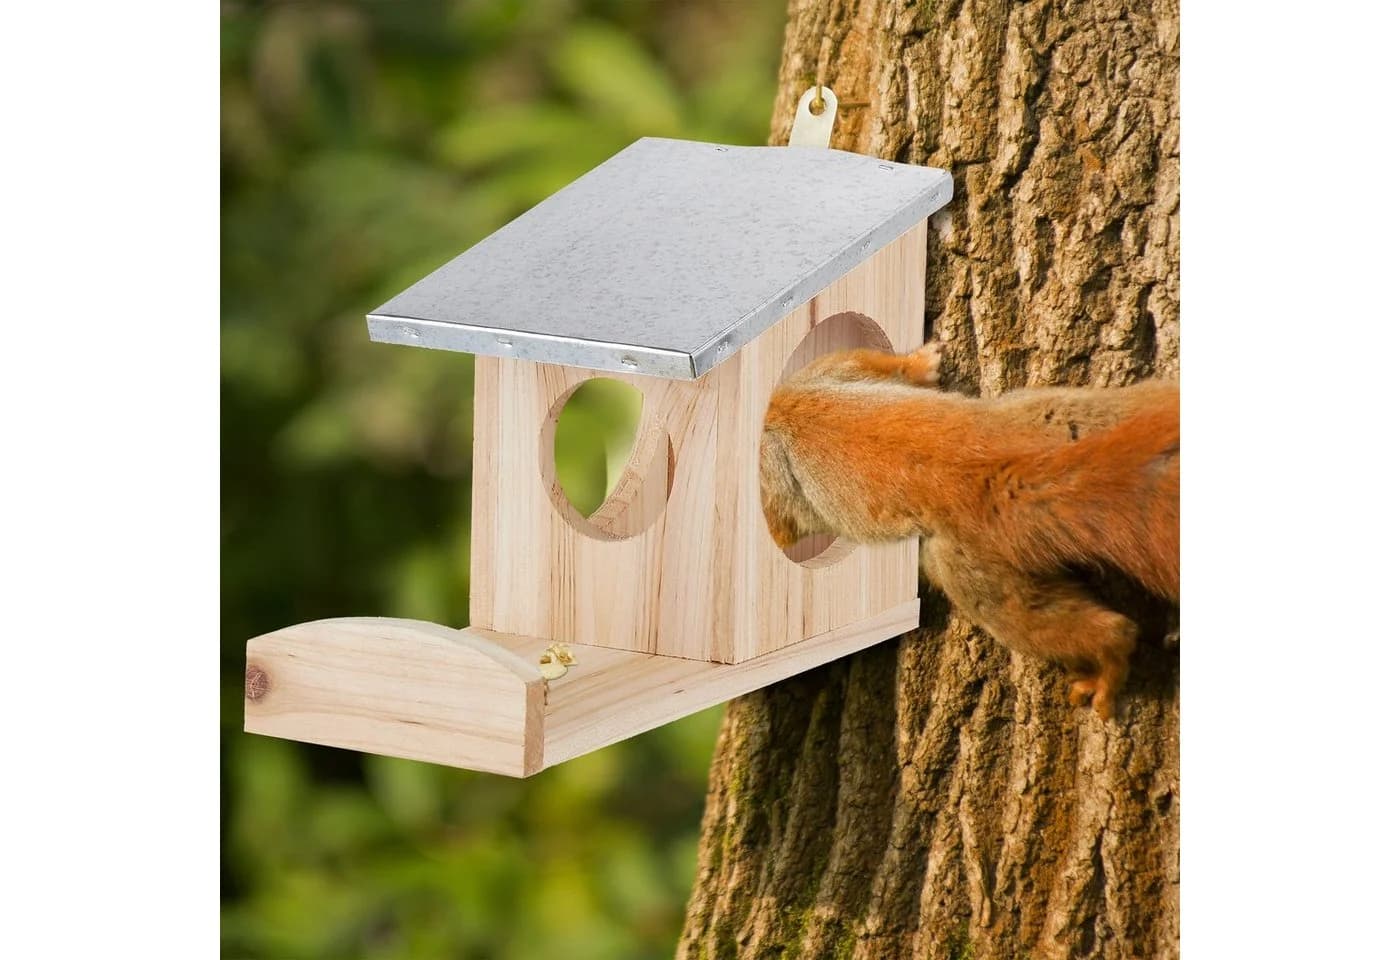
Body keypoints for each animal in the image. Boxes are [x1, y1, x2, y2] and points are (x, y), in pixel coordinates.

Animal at [760, 338, 1179, 720]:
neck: (777, 413)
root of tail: (997, 473)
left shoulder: (800, 403)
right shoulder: (826, 378)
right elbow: (876, 366)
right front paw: (923, 364)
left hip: (968, 573)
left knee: (1089, 630)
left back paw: (1106, 672)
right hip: (1073, 415)